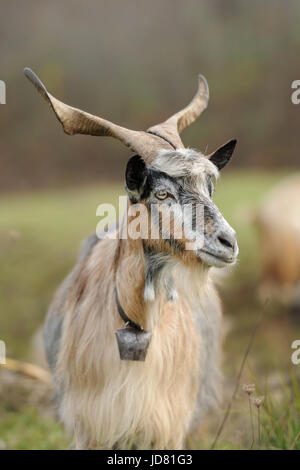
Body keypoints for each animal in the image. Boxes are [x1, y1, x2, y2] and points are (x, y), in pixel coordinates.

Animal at [24, 69, 238, 448]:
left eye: (209, 189)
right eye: (162, 193)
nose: (228, 242)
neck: (137, 324)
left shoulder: (169, 425)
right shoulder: (88, 425)